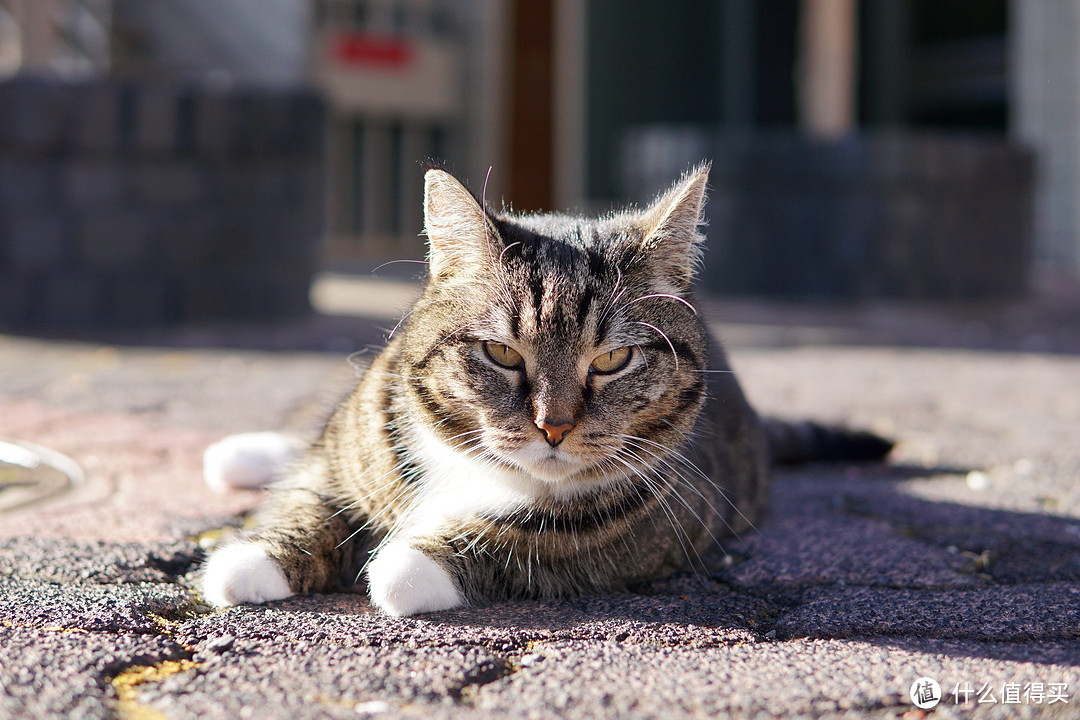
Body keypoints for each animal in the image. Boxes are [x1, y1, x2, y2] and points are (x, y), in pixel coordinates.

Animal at [198, 166, 889, 617]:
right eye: (502, 353)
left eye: (613, 359)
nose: (552, 427)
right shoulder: (354, 448)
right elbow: (311, 500)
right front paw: (246, 563)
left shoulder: (639, 523)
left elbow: (509, 536)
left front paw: (403, 563)